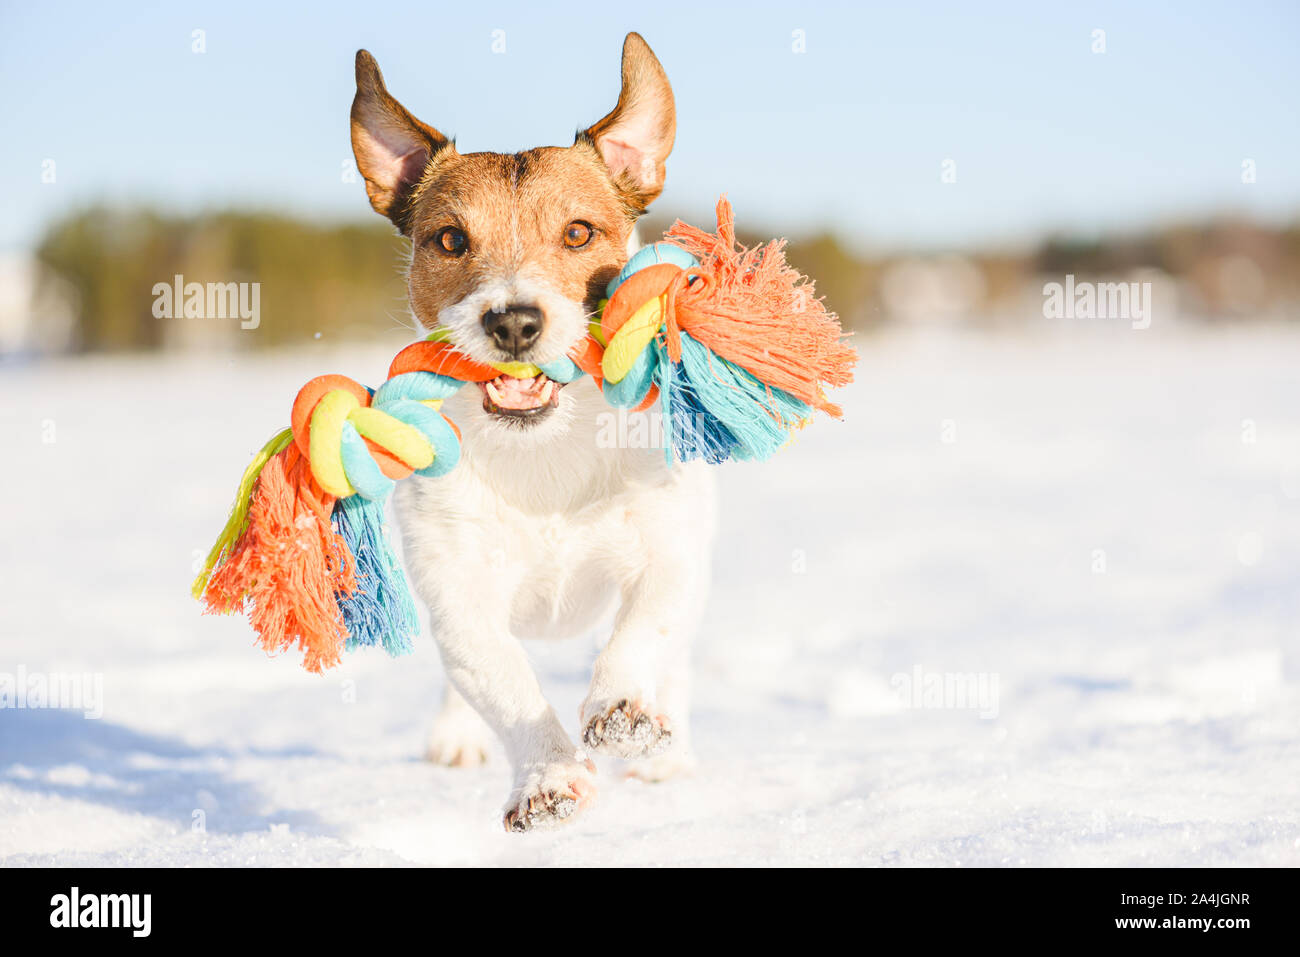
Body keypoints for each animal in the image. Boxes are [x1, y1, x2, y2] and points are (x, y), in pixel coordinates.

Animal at [351, 31, 717, 832]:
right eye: (449, 239)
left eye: (579, 232)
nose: (513, 321)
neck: (543, 450)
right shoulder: (460, 595)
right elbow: (506, 685)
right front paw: (548, 778)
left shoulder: (668, 544)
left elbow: (646, 629)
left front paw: (624, 708)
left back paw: (666, 747)